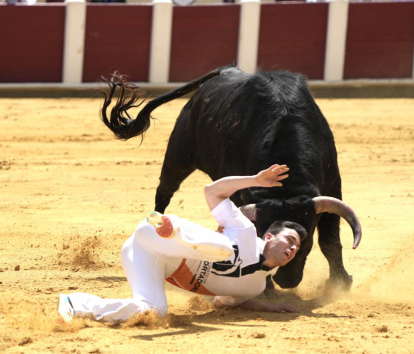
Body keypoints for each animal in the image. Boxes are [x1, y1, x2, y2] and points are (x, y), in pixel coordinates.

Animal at [98, 65, 360, 292]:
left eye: (307, 238)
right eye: (264, 231)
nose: (287, 282)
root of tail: (227, 70)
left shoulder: (333, 186)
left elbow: (329, 241)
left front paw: (339, 283)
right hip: (178, 156)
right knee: (164, 193)